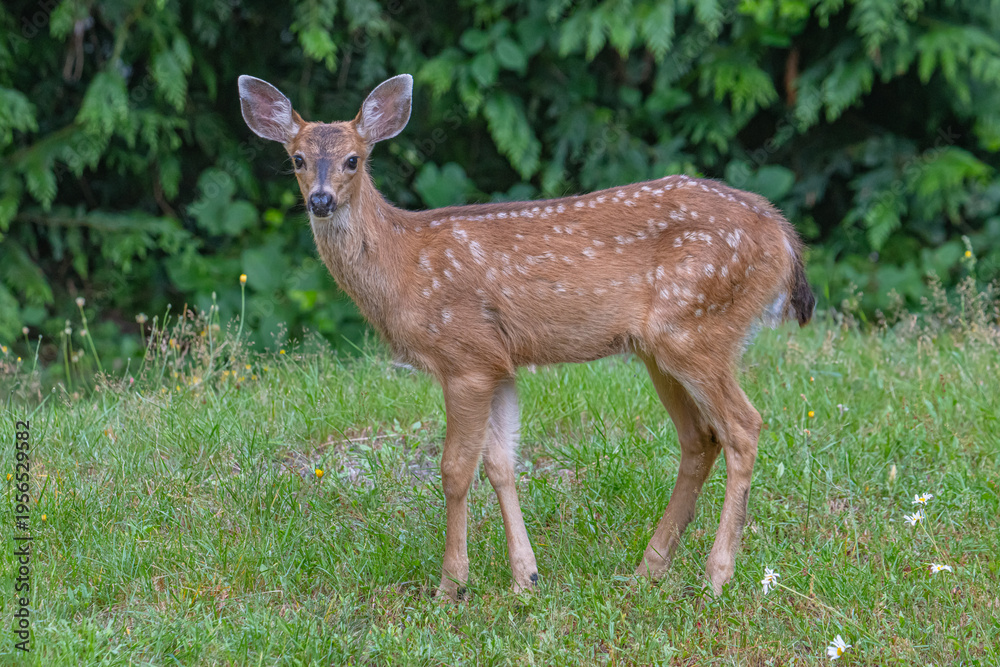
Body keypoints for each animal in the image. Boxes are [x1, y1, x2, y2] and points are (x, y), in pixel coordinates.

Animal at [238, 73, 815, 601]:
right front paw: (526, 578)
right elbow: (501, 464)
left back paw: (716, 576)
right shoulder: (499, 363)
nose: (320, 200)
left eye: (354, 159)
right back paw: (647, 570)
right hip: (663, 347)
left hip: (697, 326)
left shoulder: (464, 356)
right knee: (700, 438)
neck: (403, 266)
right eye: (296, 158)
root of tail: (783, 236)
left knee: (743, 427)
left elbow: (454, 470)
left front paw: (451, 586)